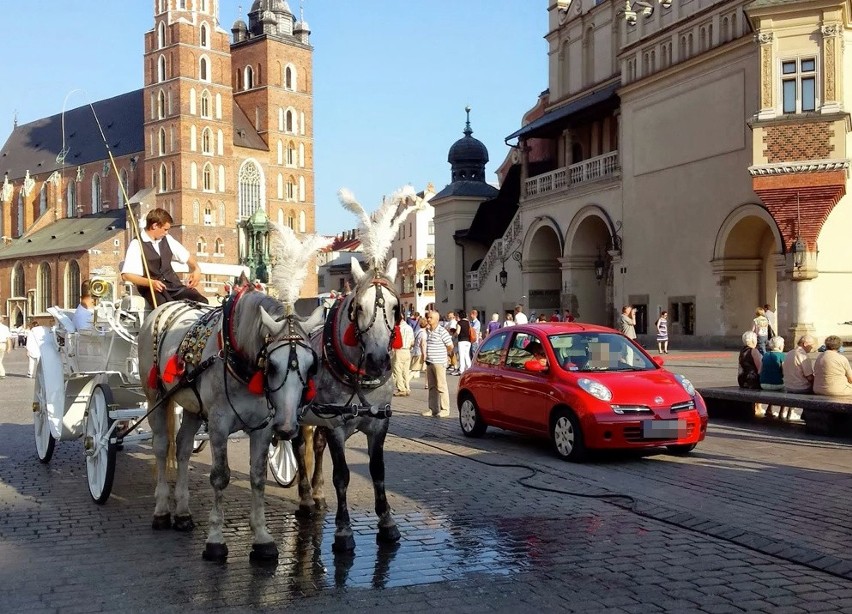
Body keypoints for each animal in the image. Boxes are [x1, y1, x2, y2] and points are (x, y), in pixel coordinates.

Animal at [138, 284, 324, 564]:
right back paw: (161, 510)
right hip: (156, 397)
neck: (238, 356)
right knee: (161, 447)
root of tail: (165, 307)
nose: (287, 428)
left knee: (182, 448)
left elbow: (258, 477)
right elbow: (220, 477)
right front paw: (215, 540)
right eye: (272, 365)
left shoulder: (263, 428)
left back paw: (182, 513)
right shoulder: (218, 424)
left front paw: (262, 538)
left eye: (312, 366)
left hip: (192, 408)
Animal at [296, 258, 402, 556]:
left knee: (317, 448)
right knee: (299, 448)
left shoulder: (379, 424)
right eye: (359, 308)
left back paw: (318, 494)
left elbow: (378, 470)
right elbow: (342, 475)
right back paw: (306, 498)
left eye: (395, 307)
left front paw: (387, 522)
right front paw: (343, 530)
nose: (378, 360)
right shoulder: (336, 426)